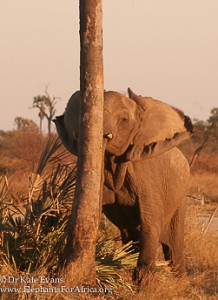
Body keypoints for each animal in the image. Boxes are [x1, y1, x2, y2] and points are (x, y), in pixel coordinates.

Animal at [54, 87, 192, 284]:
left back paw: (181, 283)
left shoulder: (147, 179)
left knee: (173, 244)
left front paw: (144, 286)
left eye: (124, 120)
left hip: (180, 198)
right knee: (133, 236)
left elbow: (150, 226)